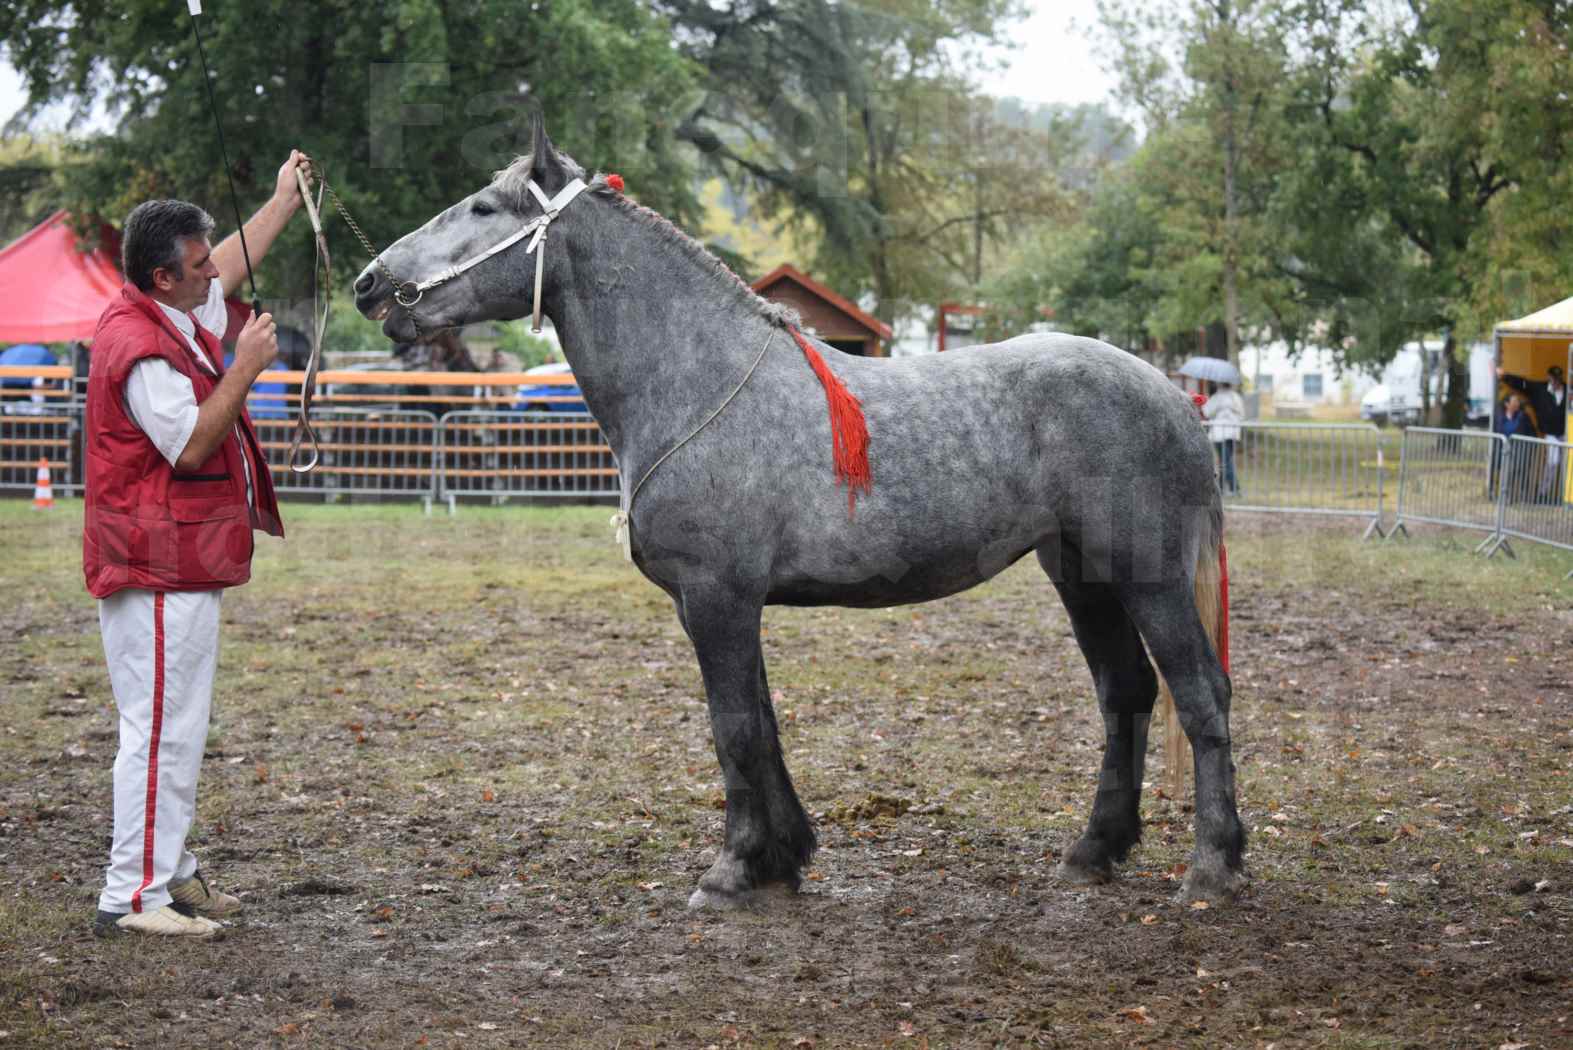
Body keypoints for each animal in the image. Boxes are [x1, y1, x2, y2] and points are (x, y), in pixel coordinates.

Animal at [353, 114, 1239, 905]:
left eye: (483, 208)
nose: (370, 283)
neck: (696, 378)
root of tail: (1173, 396)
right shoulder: (728, 604)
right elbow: (762, 723)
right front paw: (781, 859)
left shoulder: (716, 597)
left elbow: (734, 727)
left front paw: (732, 870)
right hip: (1081, 574)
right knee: (1125, 693)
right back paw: (1093, 851)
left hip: (1147, 577)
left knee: (1200, 692)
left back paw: (1212, 866)